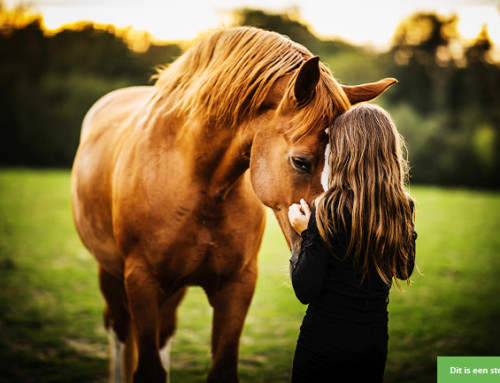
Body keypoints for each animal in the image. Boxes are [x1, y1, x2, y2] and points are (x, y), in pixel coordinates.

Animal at [70, 27, 396, 383]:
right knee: (118, 332)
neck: (195, 182)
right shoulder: (142, 281)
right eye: (301, 162)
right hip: (112, 273)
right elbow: (149, 370)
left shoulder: (238, 285)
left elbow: (222, 368)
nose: (339, 249)